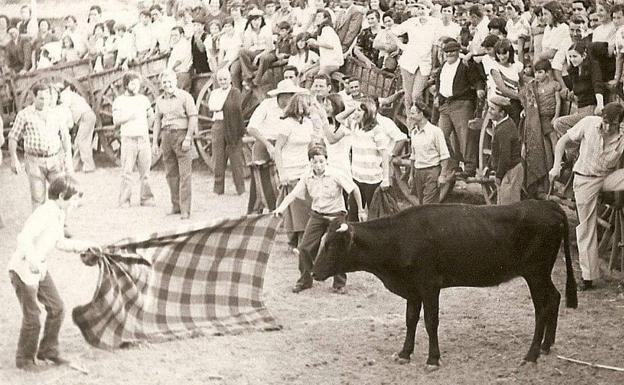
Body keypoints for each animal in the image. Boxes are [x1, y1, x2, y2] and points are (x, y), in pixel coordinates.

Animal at [314, 200, 576, 368]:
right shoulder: (413, 290)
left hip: (535, 273)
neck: (399, 238)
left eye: (331, 245)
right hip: (541, 274)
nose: (314, 272)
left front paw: (432, 359)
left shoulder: (430, 286)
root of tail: (549, 206)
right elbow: (411, 320)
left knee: (542, 308)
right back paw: (546, 346)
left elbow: (431, 321)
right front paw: (404, 353)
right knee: (554, 298)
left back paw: (531, 355)